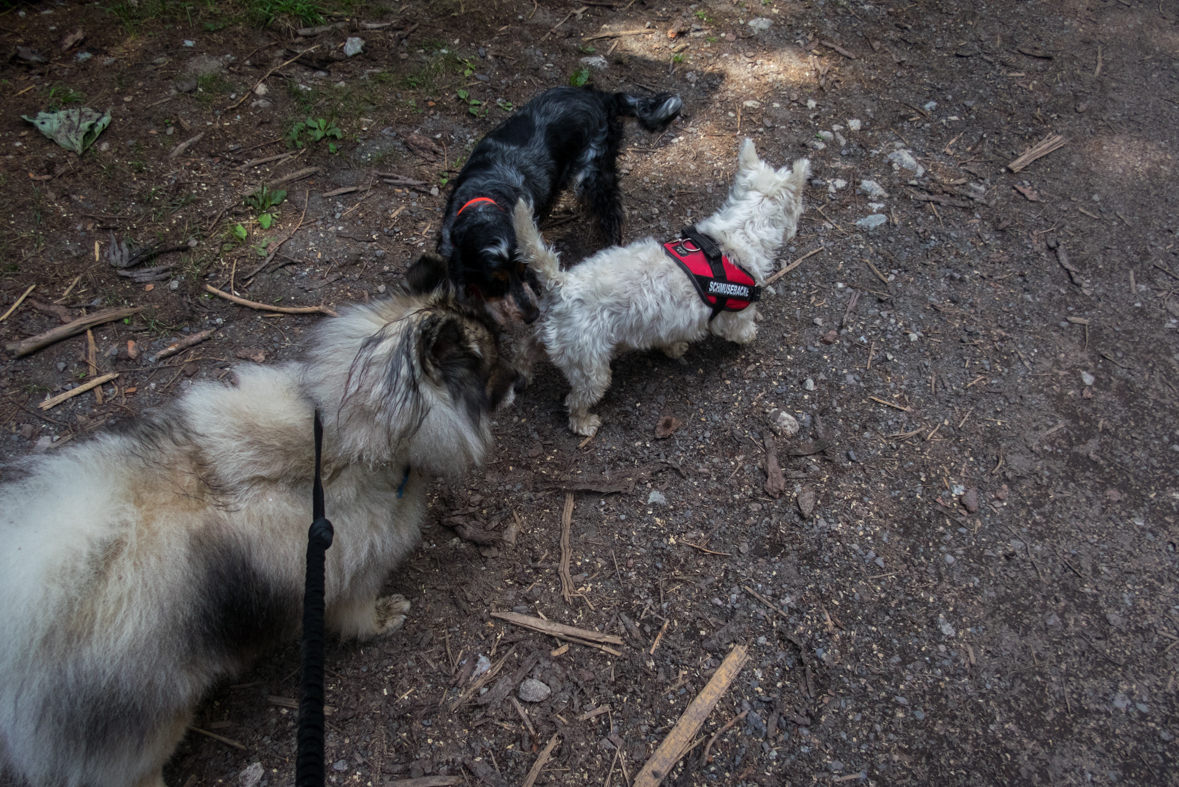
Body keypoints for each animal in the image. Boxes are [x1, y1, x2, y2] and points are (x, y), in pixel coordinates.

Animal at [0, 255, 521, 782]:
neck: (351, 432)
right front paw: (383, 619)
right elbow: (359, 614)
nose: (520, 378)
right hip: (152, 721)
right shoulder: (354, 570)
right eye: (489, 364)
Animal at [440, 84, 683, 320]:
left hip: (592, 171)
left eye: (522, 270)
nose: (533, 315)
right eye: (496, 284)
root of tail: (600, 96)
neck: (484, 195)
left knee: (613, 215)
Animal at [516, 141, 811, 435]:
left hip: (547, 335)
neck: (738, 232)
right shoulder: (735, 313)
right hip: (590, 366)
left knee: (524, 351)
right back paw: (585, 422)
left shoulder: (672, 321)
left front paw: (674, 348)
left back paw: (523, 378)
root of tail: (561, 285)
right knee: (576, 399)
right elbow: (741, 328)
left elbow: (671, 337)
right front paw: (750, 336)